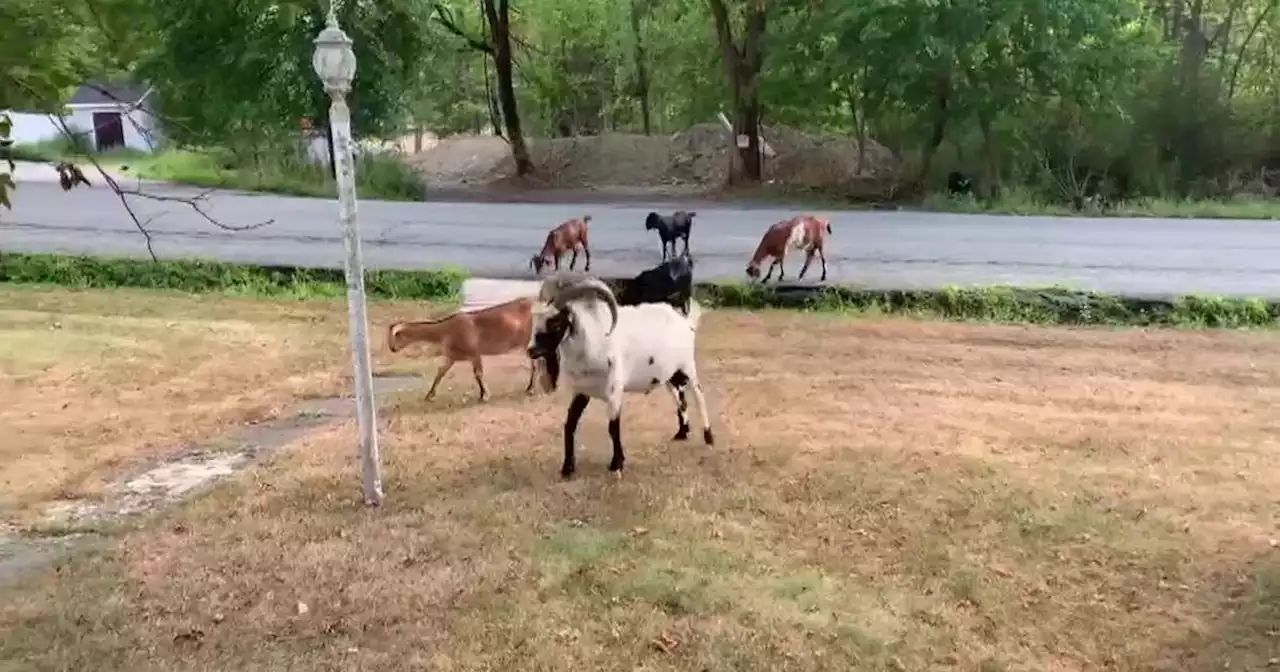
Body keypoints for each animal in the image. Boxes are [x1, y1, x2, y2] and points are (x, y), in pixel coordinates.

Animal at [378, 295, 540, 401]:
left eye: (394, 337)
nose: (392, 348)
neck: (446, 330)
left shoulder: (475, 352)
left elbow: (478, 373)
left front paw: (484, 395)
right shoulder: (452, 356)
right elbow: (440, 372)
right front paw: (430, 395)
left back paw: (532, 389)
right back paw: (531, 387)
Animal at [524, 272, 716, 476]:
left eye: (554, 322)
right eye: (535, 320)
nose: (531, 350)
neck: (595, 340)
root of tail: (685, 321)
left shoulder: (614, 391)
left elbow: (613, 427)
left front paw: (616, 464)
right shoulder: (582, 391)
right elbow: (570, 424)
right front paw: (567, 468)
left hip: (687, 366)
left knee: (699, 395)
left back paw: (708, 437)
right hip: (669, 375)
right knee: (680, 397)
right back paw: (682, 433)